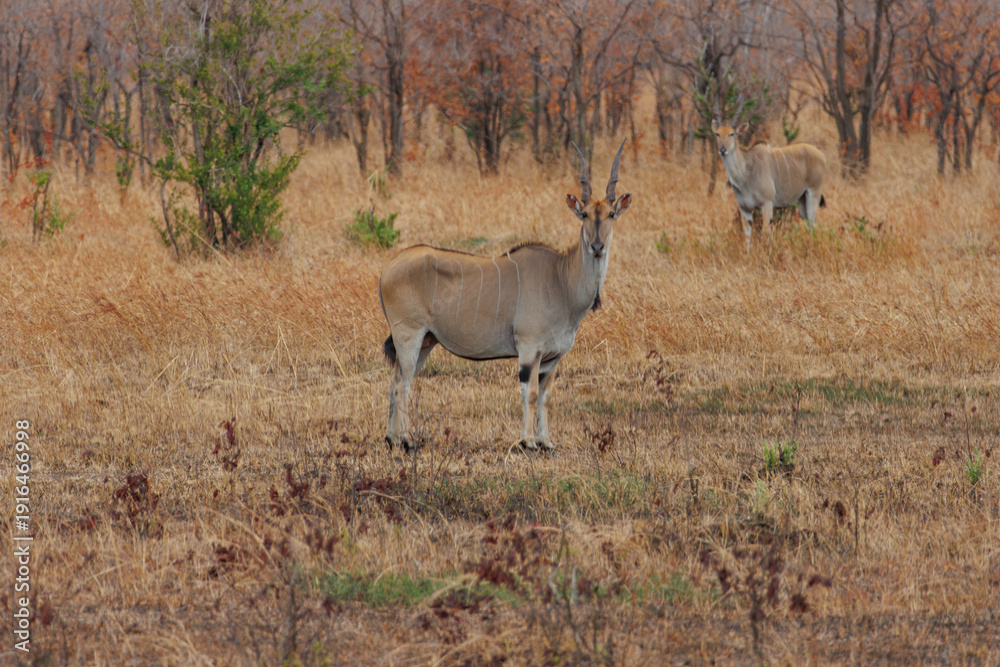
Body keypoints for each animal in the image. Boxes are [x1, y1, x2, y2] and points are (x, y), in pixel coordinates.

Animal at [378, 141, 632, 453]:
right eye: (584, 214)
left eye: (611, 214)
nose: (597, 246)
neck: (561, 279)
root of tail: (387, 269)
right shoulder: (529, 349)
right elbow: (530, 393)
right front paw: (529, 442)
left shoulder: (553, 358)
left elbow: (545, 396)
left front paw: (546, 442)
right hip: (408, 336)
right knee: (402, 383)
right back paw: (407, 440)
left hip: (425, 341)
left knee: (396, 378)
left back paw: (391, 438)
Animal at [712, 98, 827, 253]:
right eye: (717, 134)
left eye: (732, 134)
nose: (723, 150)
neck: (746, 172)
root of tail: (821, 155)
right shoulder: (744, 208)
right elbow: (747, 234)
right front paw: (748, 256)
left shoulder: (767, 204)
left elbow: (766, 232)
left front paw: (767, 254)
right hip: (801, 199)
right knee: (809, 223)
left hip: (813, 193)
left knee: (813, 223)